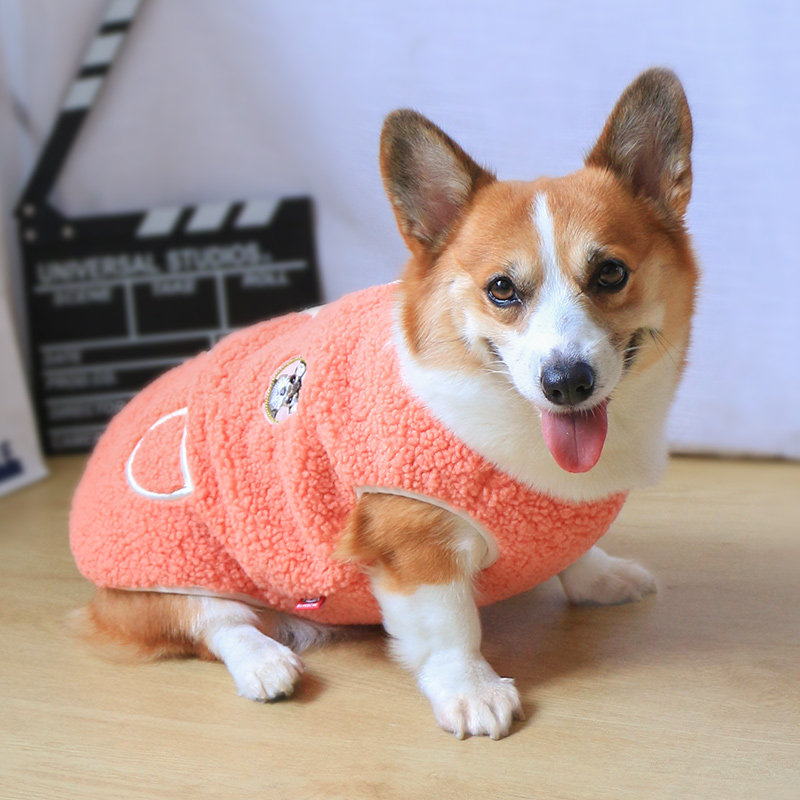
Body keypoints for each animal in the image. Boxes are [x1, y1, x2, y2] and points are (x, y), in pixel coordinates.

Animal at [70, 68, 697, 739]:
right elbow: (450, 628)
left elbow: (575, 556)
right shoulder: (414, 541)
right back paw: (266, 663)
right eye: (502, 289)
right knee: (215, 623)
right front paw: (471, 691)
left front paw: (599, 575)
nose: (567, 382)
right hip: (168, 571)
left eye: (610, 273)